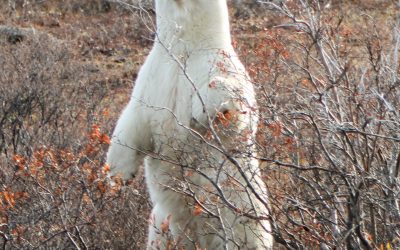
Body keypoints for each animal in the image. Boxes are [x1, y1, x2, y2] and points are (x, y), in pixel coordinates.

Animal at [106, 0, 274, 249]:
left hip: (240, 214)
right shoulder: (155, 76)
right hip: (162, 225)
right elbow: (134, 120)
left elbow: (237, 110)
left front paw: (204, 106)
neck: (184, 46)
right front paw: (118, 175)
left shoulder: (217, 63)